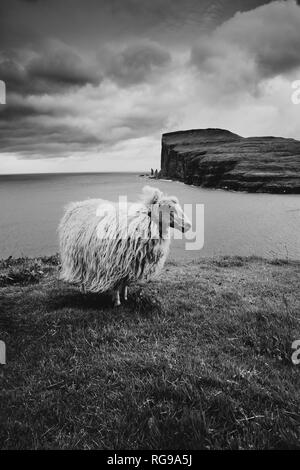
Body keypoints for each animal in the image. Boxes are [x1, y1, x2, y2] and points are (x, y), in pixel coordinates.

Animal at [58, 185, 192, 306]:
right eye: (168, 208)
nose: (188, 225)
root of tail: (76, 205)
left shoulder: (131, 263)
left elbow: (125, 283)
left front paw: (125, 297)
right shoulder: (115, 264)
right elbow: (117, 285)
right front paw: (117, 302)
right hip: (77, 257)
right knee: (81, 275)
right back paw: (84, 292)